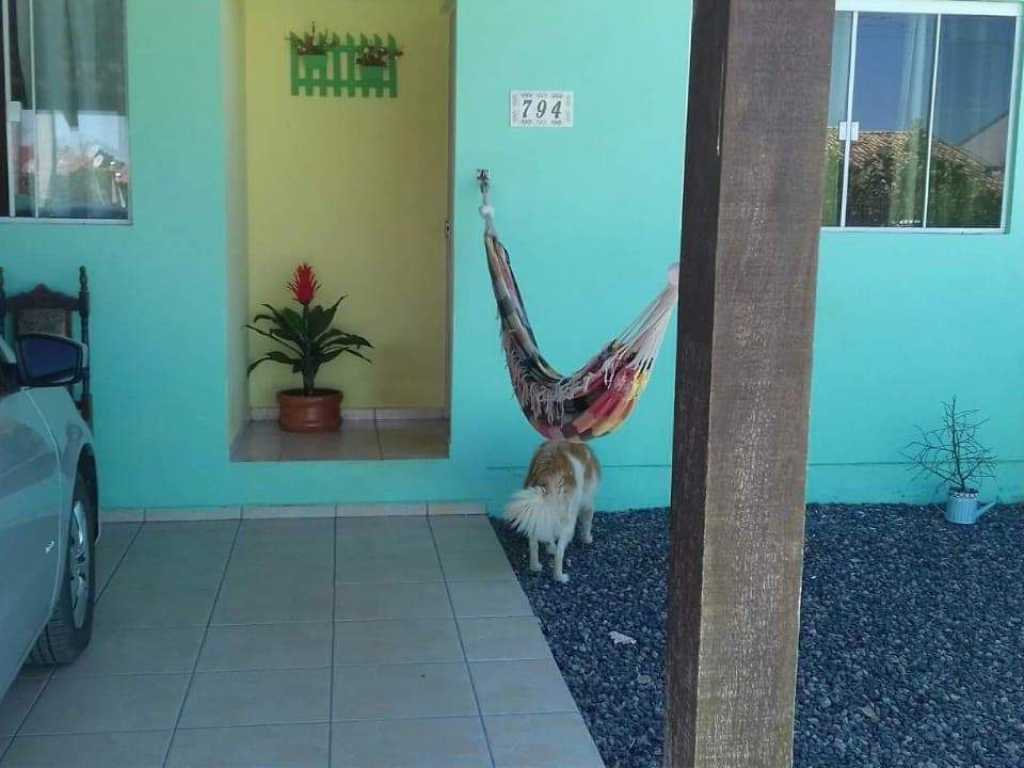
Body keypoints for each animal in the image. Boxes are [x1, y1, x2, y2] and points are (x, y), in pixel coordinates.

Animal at [503, 438, 598, 581]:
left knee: (534, 543)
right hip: (567, 520)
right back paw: (560, 576)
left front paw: (550, 547)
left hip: (539, 511)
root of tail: (549, 467)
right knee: (559, 553)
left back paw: (535, 565)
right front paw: (587, 538)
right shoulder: (587, 501)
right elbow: (588, 521)